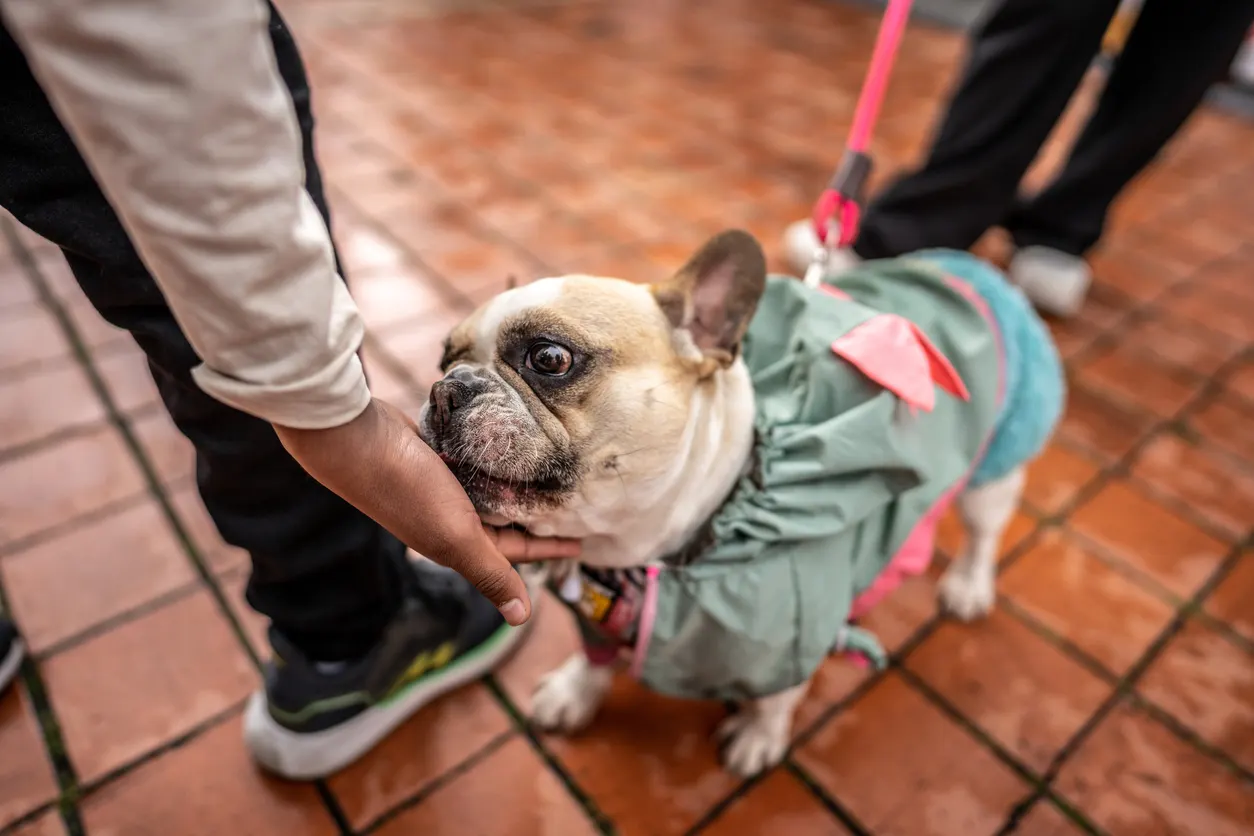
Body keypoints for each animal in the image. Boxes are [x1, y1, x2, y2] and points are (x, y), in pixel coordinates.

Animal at [418, 230, 1058, 777]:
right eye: (444, 359)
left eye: (549, 358)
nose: (448, 390)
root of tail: (968, 269)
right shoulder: (597, 613)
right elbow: (594, 658)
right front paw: (576, 694)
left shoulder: (792, 636)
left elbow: (776, 696)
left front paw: (758, 736)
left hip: (994, 467)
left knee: (984, 532)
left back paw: (969, 586)